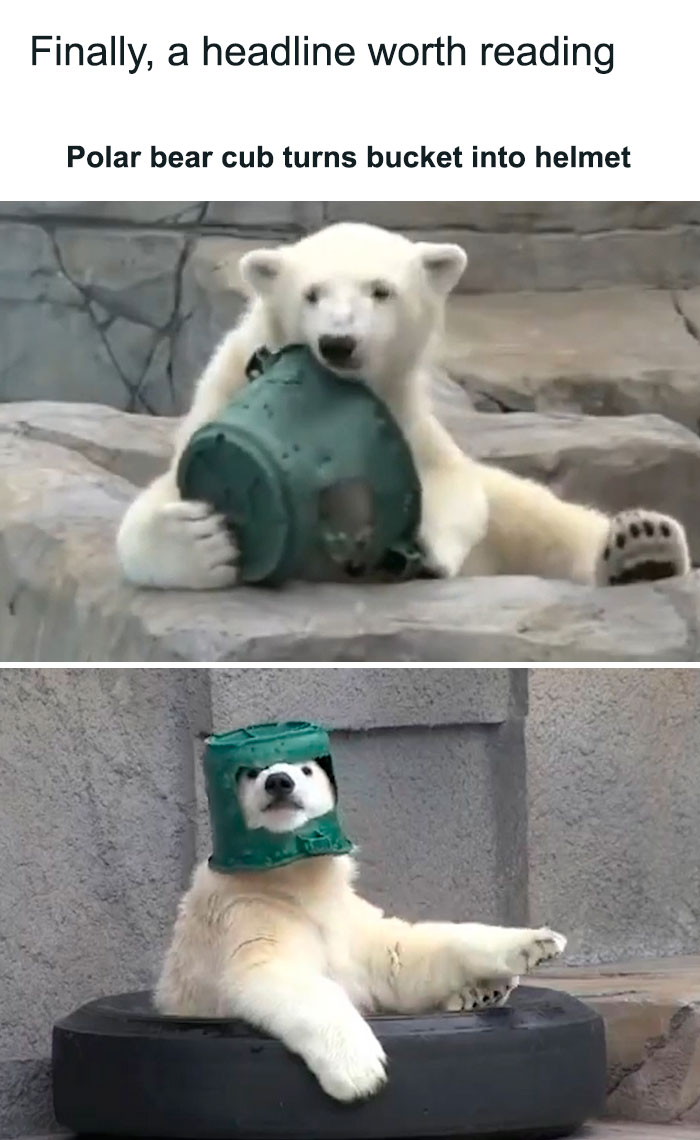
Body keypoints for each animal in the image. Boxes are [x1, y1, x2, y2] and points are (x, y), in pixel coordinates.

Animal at [116, 221, 690, 589]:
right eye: (312, 294)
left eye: (381, 291)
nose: (339, 343)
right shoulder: (222, 398)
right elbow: (153, 508)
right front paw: (202, 539)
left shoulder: (405, 416)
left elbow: (454, 484)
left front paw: (424, 549)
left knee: (542, 516)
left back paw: (643, 546)